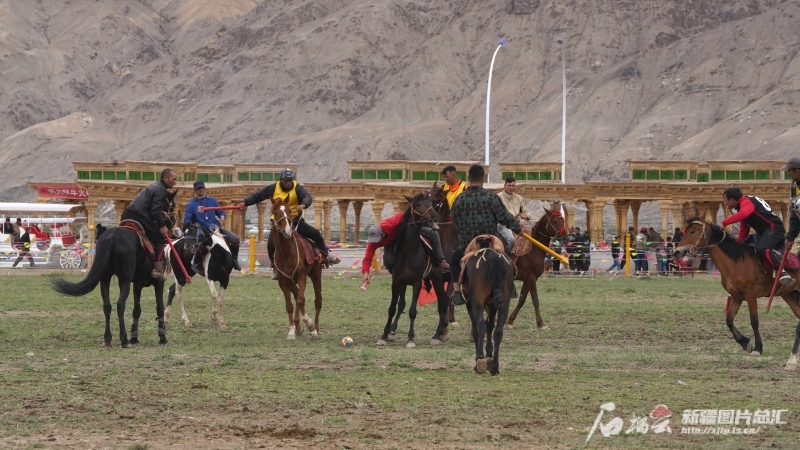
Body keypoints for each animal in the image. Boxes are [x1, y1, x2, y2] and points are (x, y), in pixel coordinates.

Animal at [50, 190, 177, 348]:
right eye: (172, 204)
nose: (173, 221)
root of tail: (111, 237)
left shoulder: (137, 285)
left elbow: (137, 310)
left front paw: (135, 337)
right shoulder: (158, 283)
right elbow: (159, 308)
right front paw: (162, 337)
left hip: (105, 279)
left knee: (107, 305)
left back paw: (108, 339)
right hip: (125, 280)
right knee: (120, 304)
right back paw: (124, 340)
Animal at [272, 195, 322, 340]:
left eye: (289, 211)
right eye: (275, 213)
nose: (288, 231)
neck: (286, 253)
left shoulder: (301, 276)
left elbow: (300, 300)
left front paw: (306, 326)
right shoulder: (283, 281)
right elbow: (290, 305)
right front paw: (293, 330)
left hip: (316, 275)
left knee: (317, 301)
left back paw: (315, 329)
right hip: (291, 281)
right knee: (298, 295)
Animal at [376, 193, 450, 348]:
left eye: (430, 203)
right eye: (418, 205)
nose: (434, 216)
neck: (409, 252)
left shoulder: (416, 283)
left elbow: (412, 311)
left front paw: (410, 339)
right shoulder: (397, 282)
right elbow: (393, 308)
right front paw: (384, 335)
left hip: (437, 278)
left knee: (443, 302)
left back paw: (436, 335)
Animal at [460, 237, 516, 374]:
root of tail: (492, 258)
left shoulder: (471, 303)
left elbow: (477, 329)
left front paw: (481, 357)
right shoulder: (492, 305)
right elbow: (490, 326)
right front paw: (489, 355)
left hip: (477, 302)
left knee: (480, 326)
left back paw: (479, 361)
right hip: (503, 303)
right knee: (498, 331)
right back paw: (495, 366)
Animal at [676, 217, 800, 370]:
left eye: (693, 231)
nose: (677, 252)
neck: (736, 262)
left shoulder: (751, 295)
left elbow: (754, 321)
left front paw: (757, 348)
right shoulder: (736, 296)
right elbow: (729, 320)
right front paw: (745, 343)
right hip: (791, 296)